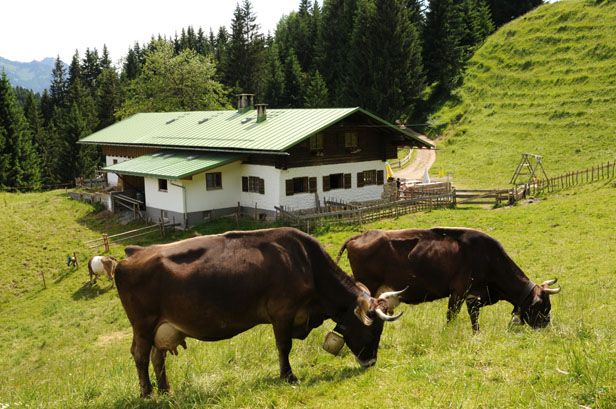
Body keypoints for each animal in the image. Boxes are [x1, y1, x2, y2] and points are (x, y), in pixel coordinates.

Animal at [115, 225, 404, 396]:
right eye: (373, 332)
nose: (370, 363)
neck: (306, 263)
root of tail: (130, 255)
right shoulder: (282, 312)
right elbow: (284, 346)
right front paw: (288, 376)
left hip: (162, 327)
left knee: (157, 356)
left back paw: (165, 389)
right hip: (143, 324)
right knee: (140, 355)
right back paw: (147, 393)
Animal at [336, 226, 560, 332]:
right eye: (543, 307)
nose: (546, 327)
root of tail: (359, 236)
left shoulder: (474, 296)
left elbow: (474, 318)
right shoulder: (459, 292)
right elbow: (452, 317)